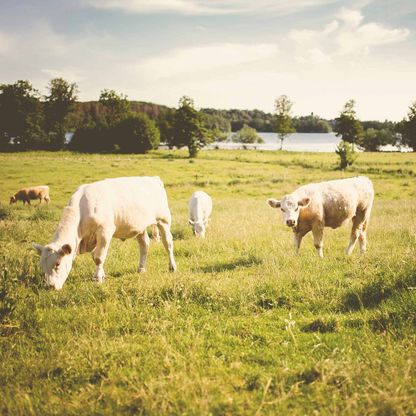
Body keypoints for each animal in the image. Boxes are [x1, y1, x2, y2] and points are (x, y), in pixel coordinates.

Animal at [32, 176, 176, 290]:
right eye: (41, 265)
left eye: (57, 264)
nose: (49, 286)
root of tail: (153, 178)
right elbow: (95, 257)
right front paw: (102, 274)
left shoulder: (104, 231)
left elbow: (98, 257)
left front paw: (97, 279)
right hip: (140, 227)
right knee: (144, 245)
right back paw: (141, 269)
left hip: (164, 221)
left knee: (168, 244)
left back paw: (172, 267)